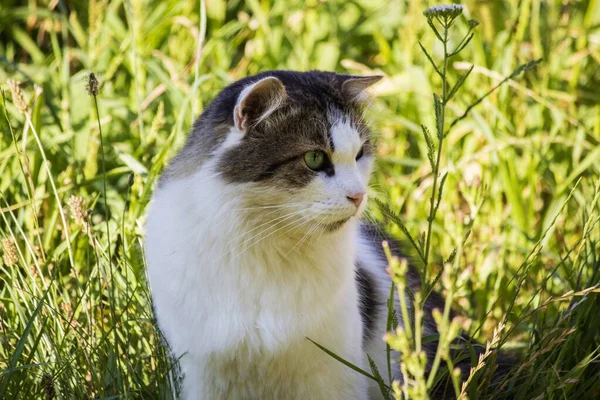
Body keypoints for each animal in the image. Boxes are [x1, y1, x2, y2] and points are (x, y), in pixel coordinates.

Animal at [144, 70, 510, 398]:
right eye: (315, 158)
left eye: (360, 154)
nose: (359, 196)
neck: (265, 246)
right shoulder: (200, 374)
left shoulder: (333, 373)